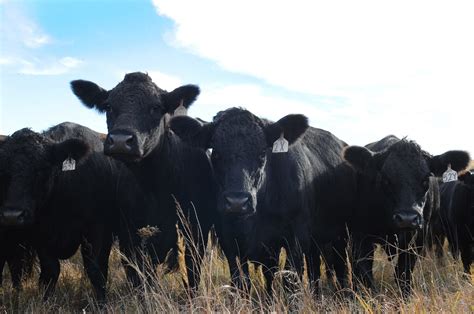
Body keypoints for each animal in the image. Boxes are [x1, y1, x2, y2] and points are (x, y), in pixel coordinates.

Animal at [0, 122, 124, 302]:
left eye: (41, 168)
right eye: (4, 170)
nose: (12, 216)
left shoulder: (97, 230)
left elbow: (95, 270)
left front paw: (102, 303)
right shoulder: (41, 235)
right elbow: (50, 271)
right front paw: (46, 302)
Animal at [71, 72, 217, 290]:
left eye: (155, 107)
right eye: (108, 106)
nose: (120, 140)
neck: (158, 188)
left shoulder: (196, 235)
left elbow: (192, 279)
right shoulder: (130, 239)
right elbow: (140, 282)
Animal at [170, 107, 348, 292]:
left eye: (262, 153)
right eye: (216, 153)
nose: (237, 202)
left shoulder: (297, 237)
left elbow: (288, 280)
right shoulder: (229, 241)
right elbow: (242, 281)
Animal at [336, 136, 470, 296]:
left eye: (426, 179)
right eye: (385, 179)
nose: (407, 218)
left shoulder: (416, 238)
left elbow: (403, 274)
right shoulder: (361, 236)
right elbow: (365, 275)